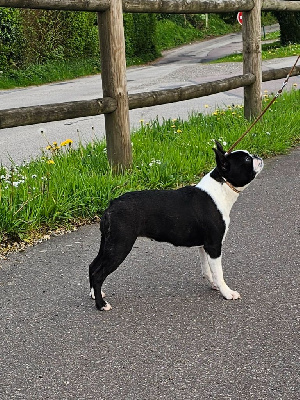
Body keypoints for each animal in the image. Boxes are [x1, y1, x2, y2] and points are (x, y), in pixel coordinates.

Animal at [89, 142, 262, 310]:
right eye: (247, 160)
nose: (257, 156)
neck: (221, 187)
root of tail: (112, 205)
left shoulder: (204, 246)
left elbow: (207, 269)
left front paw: (214, 285)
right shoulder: (214, 246)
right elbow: (219, 272)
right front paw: (227, 292)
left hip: (108, 243)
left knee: (93, 266)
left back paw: (95, 295)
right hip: (120, 246)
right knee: (99, 274)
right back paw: (101, 305)